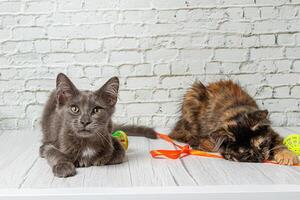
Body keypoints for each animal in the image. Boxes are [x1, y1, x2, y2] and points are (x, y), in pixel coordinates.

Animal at [170, 79, 298, 166]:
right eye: (246, 153)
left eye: (261, 145)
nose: (261, 157)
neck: (236, 114)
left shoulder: (271, 131)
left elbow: (278, 142)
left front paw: (287, 156)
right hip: (192, 95)